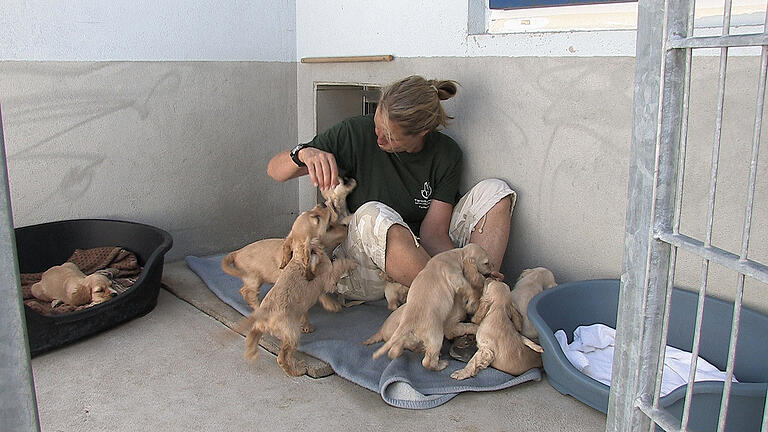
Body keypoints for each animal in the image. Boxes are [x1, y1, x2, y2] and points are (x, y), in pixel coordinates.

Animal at [243, 238, 356, 376]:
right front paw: (351, 263)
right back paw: (297, 370)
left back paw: (251, 353)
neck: (299, 259)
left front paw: (331, 305)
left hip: (260, 328)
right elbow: (338, 266)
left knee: (252, 337)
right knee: (282, 357)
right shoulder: (328, 278)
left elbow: (323, 296)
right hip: (292, 333)